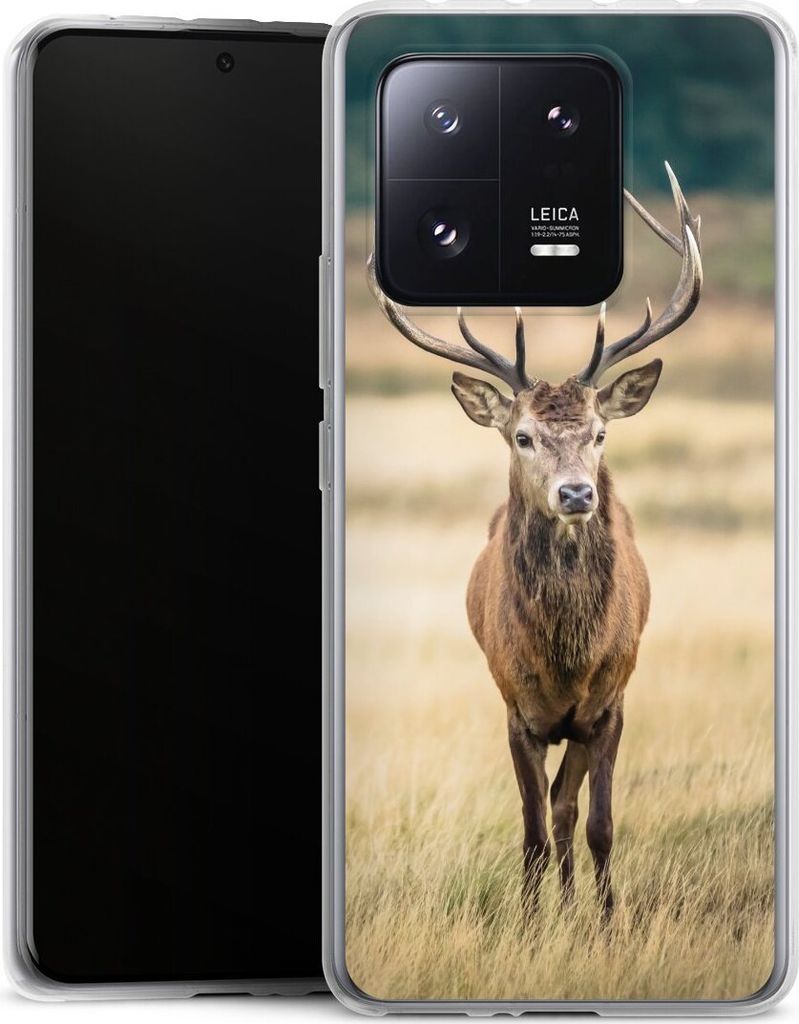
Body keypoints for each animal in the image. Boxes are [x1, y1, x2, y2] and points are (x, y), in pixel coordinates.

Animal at [367, 164, 702, 920]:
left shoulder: (609, 704)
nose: (576, 494)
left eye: (600, 434)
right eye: (522, 436)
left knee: (567, 807)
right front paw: (527, 922)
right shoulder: (515, 708)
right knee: (549, 811)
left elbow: (596, 822)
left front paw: (605, 923)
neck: (565, 660)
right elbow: (529, 831)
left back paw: (576, 904)